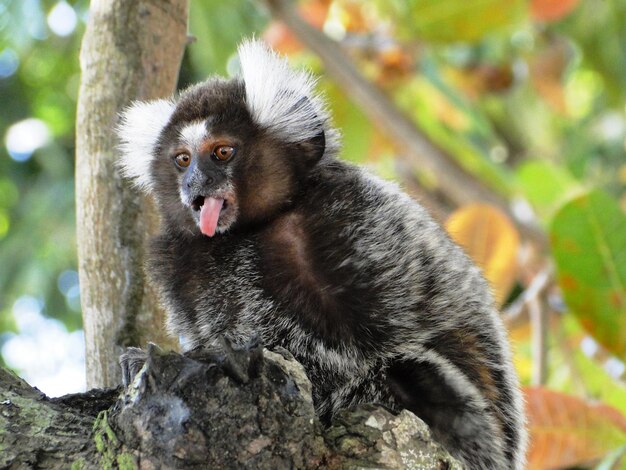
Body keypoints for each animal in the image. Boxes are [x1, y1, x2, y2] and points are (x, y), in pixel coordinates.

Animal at [118, 41, 528, 470]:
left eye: (222, 152)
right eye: (182, 159)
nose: (195, 182)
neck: (252, 230)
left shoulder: (356, 222)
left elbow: (361, 352)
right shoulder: (179, 267)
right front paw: (137, 361)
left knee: (419, 372)